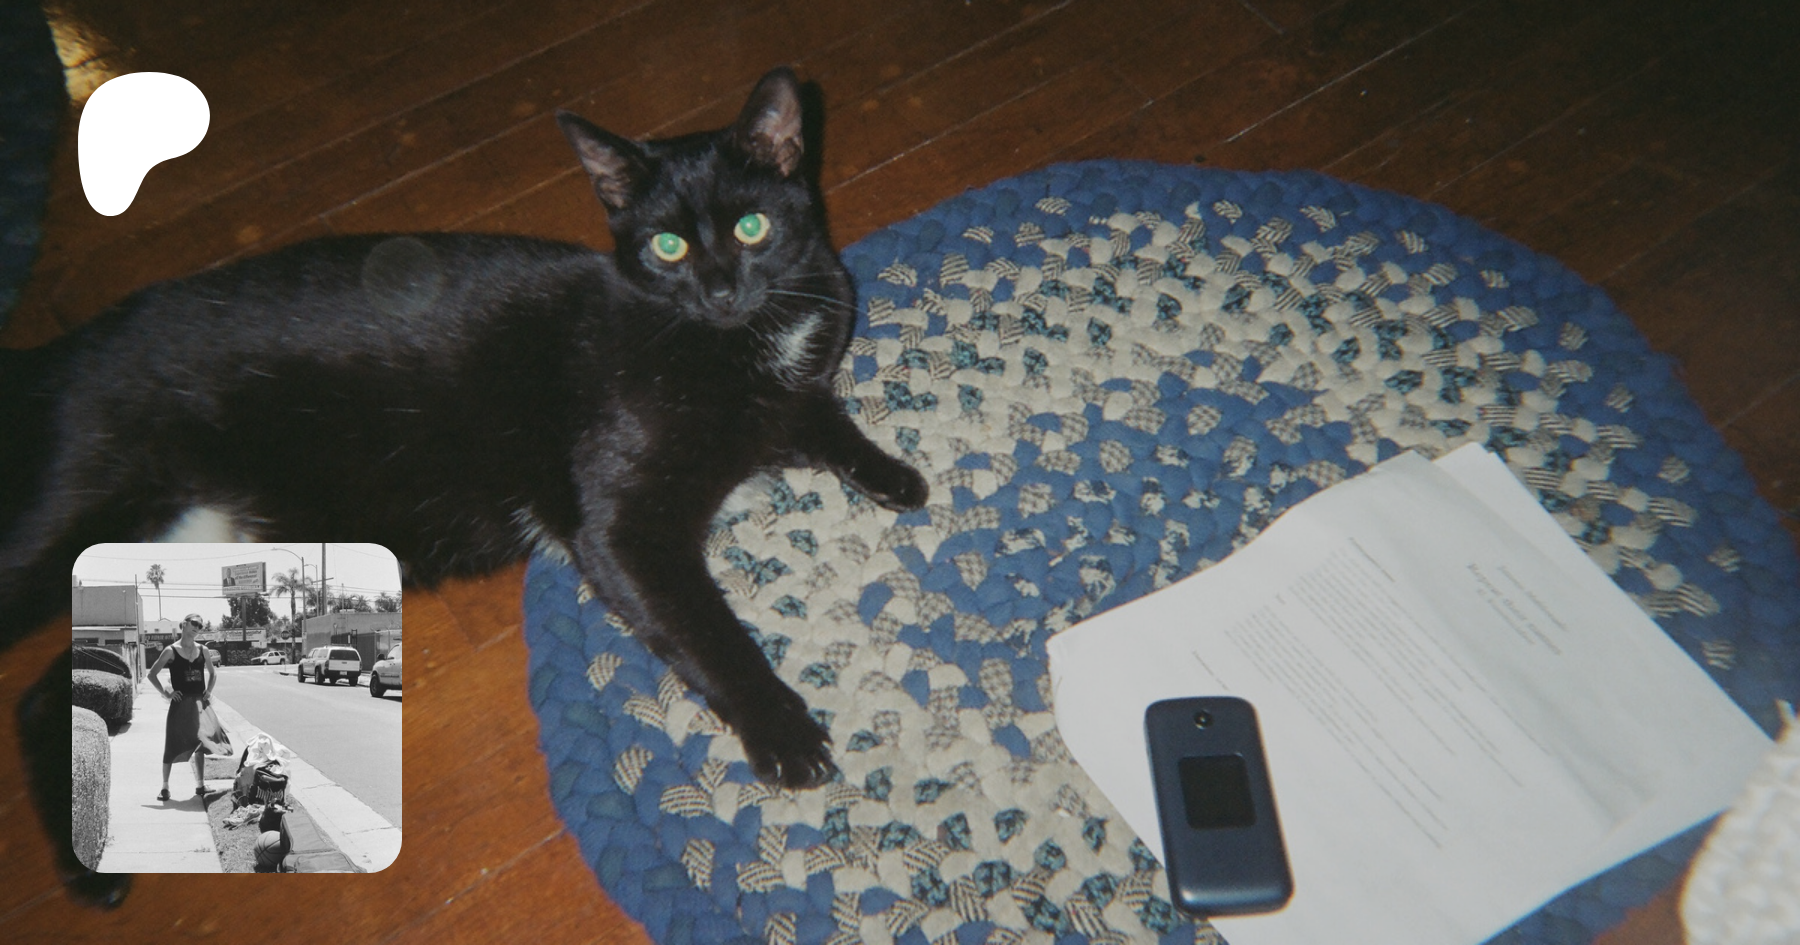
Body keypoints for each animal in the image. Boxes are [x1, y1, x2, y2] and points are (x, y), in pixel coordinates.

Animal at [3, 67, 928, 899]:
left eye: (751, 226)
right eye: (668, 246)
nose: (722, 286)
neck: (735, 342)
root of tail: (61, 355)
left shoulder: (786, 400)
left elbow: (823, 419)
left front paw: (896, 475)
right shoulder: (621, 530)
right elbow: (708, 630)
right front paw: (782, 730)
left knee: (51, 693)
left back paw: (87, 858)